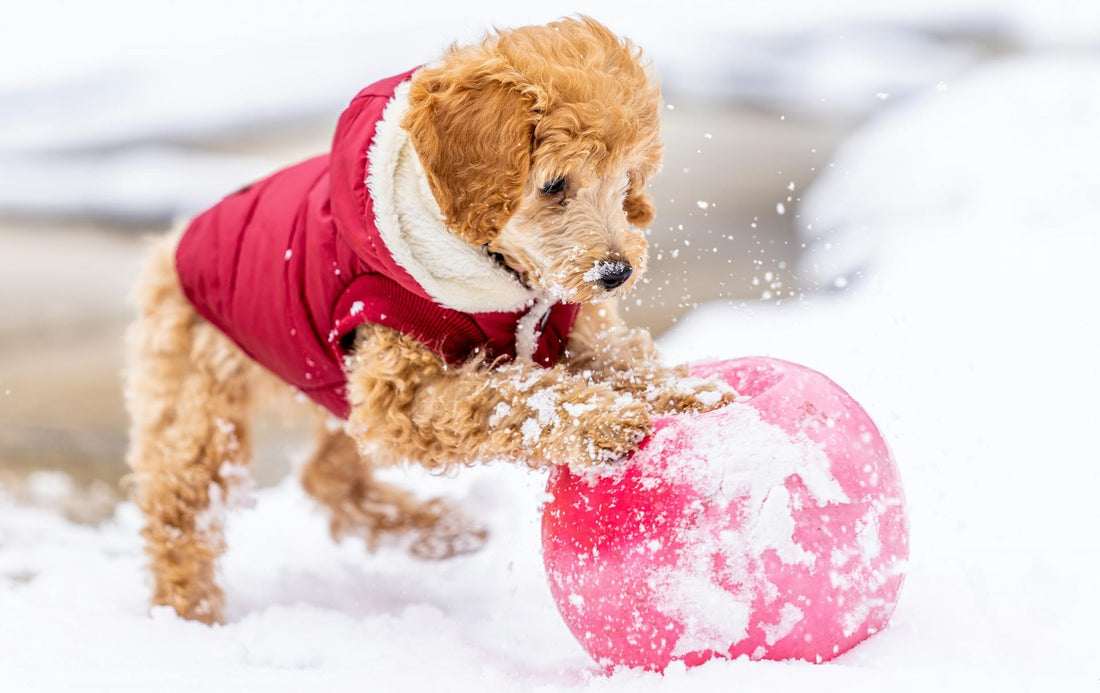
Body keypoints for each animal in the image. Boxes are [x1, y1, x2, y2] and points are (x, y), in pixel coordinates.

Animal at [122, 14, 730, 624]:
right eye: (555, 184)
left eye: (627, 182)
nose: (616, 273)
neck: (504, 275)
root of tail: (174, 243)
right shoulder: (403, 391)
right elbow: (511, 396)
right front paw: (602, 420)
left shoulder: (573, 331)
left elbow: (623, 360)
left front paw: (688, 392)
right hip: (200, 401)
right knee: (181, 511)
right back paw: (190, 616)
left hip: (332, 387)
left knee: (328, 474)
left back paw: (436, 531)